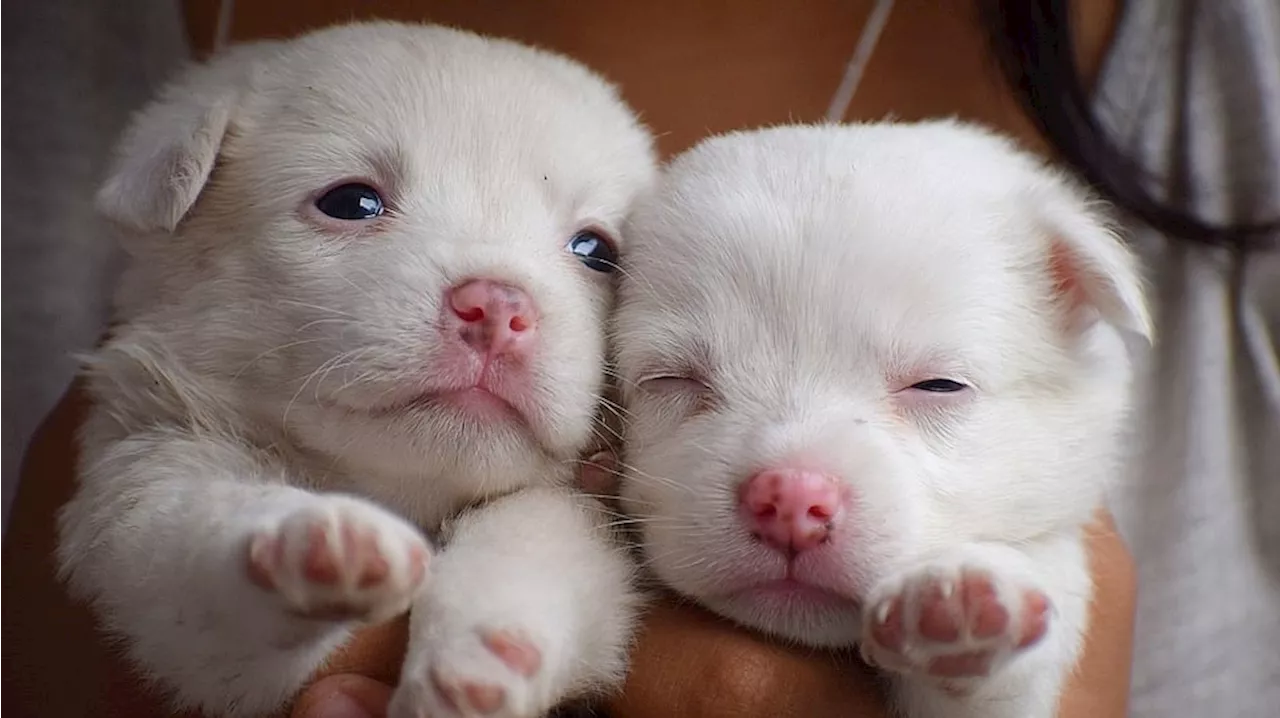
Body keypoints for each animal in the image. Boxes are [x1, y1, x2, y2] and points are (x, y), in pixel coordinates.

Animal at [55, 18, 655, 716]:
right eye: (351, 202)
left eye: (596, 251)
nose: (499, 306)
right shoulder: (141, 487)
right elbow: (190, 539)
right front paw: (305, 540)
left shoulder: (584, 521)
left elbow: (530, 534)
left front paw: (483, 652)